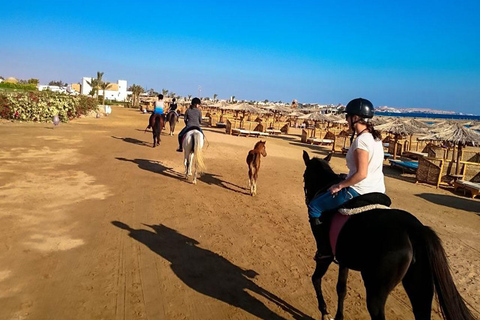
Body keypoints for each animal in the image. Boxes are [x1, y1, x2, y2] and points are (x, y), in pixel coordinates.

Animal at [302, 151, 474, 320]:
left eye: (305, 176)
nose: (308, 198)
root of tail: (415, 228)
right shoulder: (344, 259)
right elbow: (341, 289)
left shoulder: (326, 255)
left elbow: (316, 279)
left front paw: (324, 311)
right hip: (419, 287)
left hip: (376, 291)